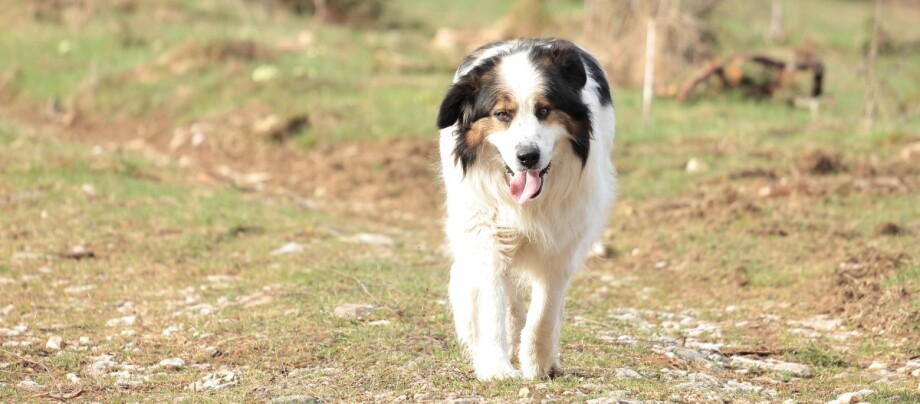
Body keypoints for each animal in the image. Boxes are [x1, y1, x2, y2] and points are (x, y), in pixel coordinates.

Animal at [438, 37, 620, 378]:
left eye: (544, 110)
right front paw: (496, 366)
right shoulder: (485, 229)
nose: (527, 157)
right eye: (502, 115)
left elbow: (546, 308)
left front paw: (537, 363)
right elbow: (492, 297)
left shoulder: (564, 239)